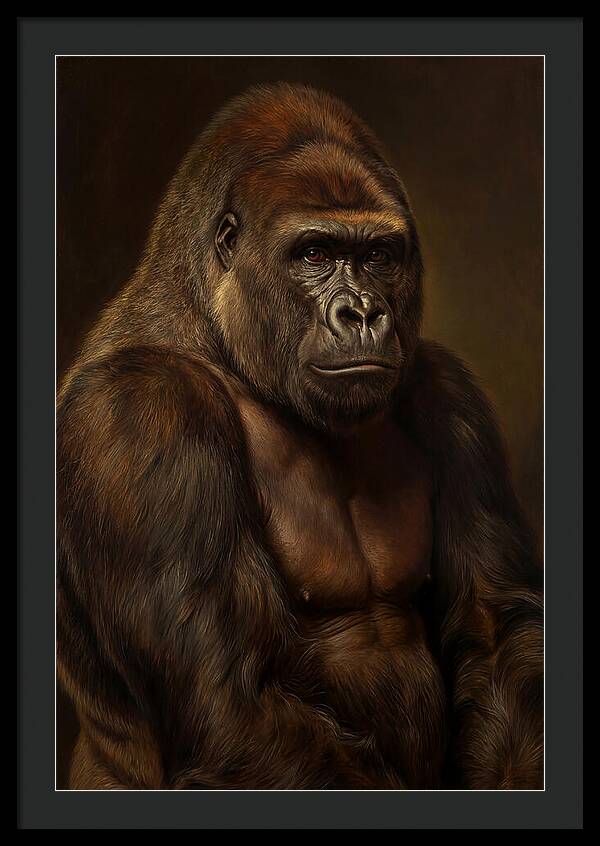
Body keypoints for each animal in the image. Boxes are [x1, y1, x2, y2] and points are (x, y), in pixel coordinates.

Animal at [57, 83, 543, 790]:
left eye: (378, 256)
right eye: (313, 254)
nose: (362, 313)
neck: (218, 335)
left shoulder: (449, 394)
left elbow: (495, 629)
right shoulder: (141, 412)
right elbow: (227, 702)